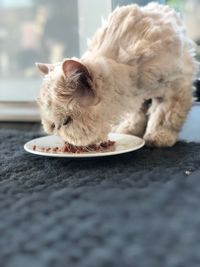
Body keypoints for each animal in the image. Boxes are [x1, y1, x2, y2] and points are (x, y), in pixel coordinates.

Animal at [36, 2, 198, 148]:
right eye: (52, 126)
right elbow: (136, 114)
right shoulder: (138, 96)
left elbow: (165, 117)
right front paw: (129, 130)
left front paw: (158, 137)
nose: (59, 135)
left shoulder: (176, 88)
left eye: (66, 122)